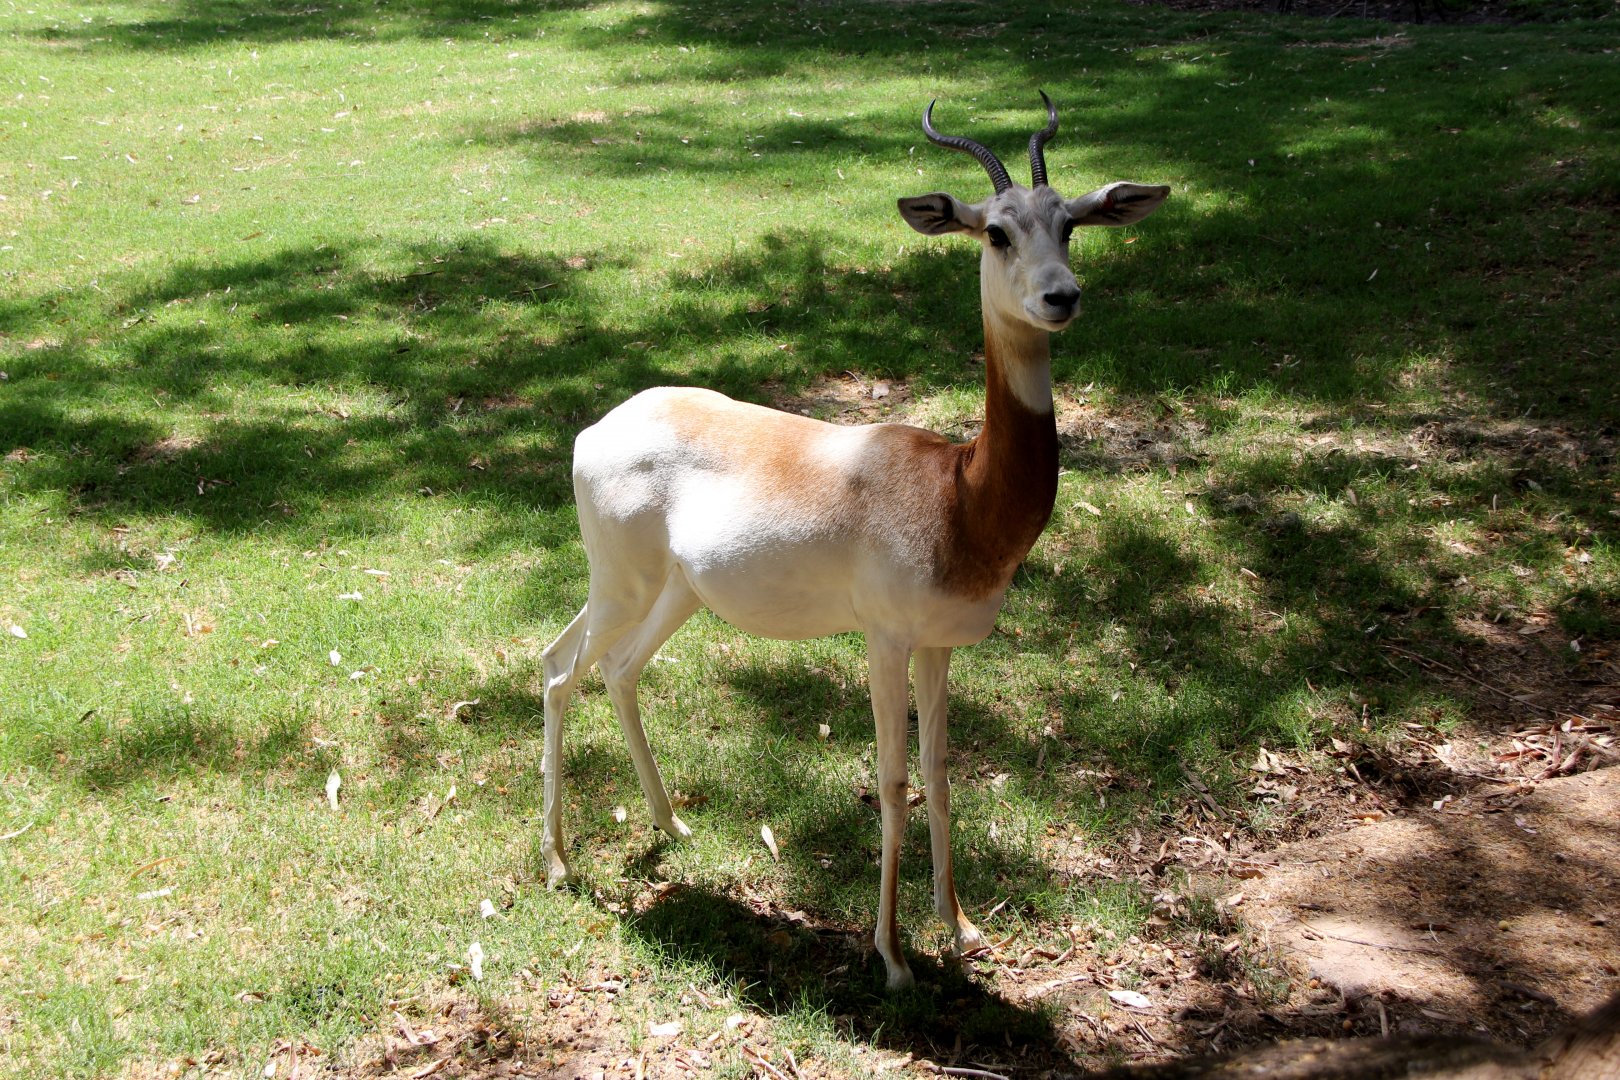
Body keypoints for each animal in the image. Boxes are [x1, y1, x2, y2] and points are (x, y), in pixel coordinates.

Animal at [540, 94, 1168, 990]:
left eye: (1071, 225)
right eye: (996, 232)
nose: (1062, 296)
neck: (960, 494)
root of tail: (598, 427)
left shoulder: (941, 645)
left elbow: (940, 773)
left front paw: (961, 927)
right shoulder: (885, 640)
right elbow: (894, 780)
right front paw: (894, 957)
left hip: (673, 592)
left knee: (614, 670)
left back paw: (671, 828)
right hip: (619, 584)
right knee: (560, 671)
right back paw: (560, 863)